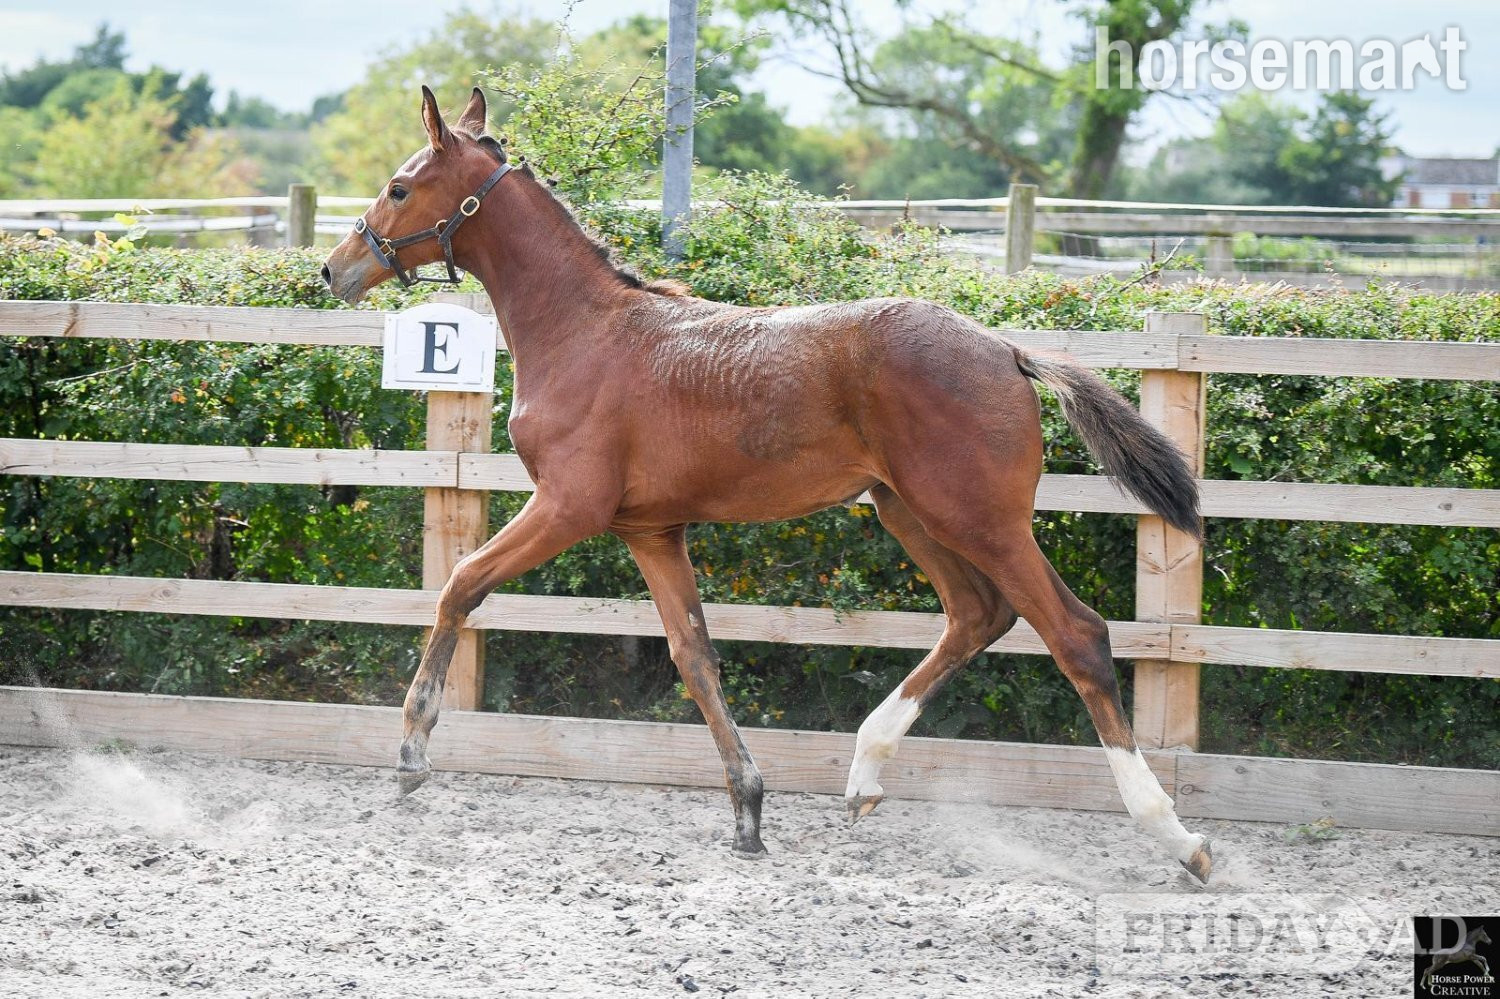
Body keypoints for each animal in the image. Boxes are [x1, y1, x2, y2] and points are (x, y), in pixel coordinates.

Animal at [321, 86, 1214, 883]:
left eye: (399, 187)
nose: (336, 267)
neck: (584, 331)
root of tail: (1006, 348)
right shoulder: (651, 529)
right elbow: (695, 656)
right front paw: (748, 807)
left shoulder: (568, 506)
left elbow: (460, 586)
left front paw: (411, 750)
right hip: (910, 512)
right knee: (977, 613)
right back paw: (864, 771)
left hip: (981, 519)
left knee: (1076, 634)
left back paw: (1178, 836)